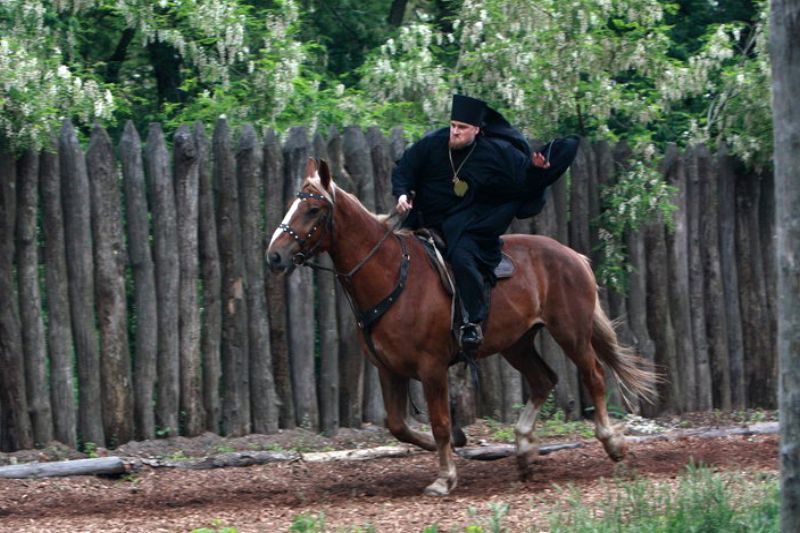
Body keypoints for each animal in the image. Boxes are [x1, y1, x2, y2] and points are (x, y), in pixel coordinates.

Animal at [268, 158, 656, 494]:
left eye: (313, 210)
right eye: (292, 205)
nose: (275, 255)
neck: (391, 273)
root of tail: (574, 256)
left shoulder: (432, 367)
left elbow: (440, 423)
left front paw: (445, 478)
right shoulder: (388, 370)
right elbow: (398, 426)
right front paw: (455, 445)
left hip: (570, 332)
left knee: (594, 374)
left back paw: (611, 442)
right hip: (517, 343)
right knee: (543, 380)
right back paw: (525, 451)